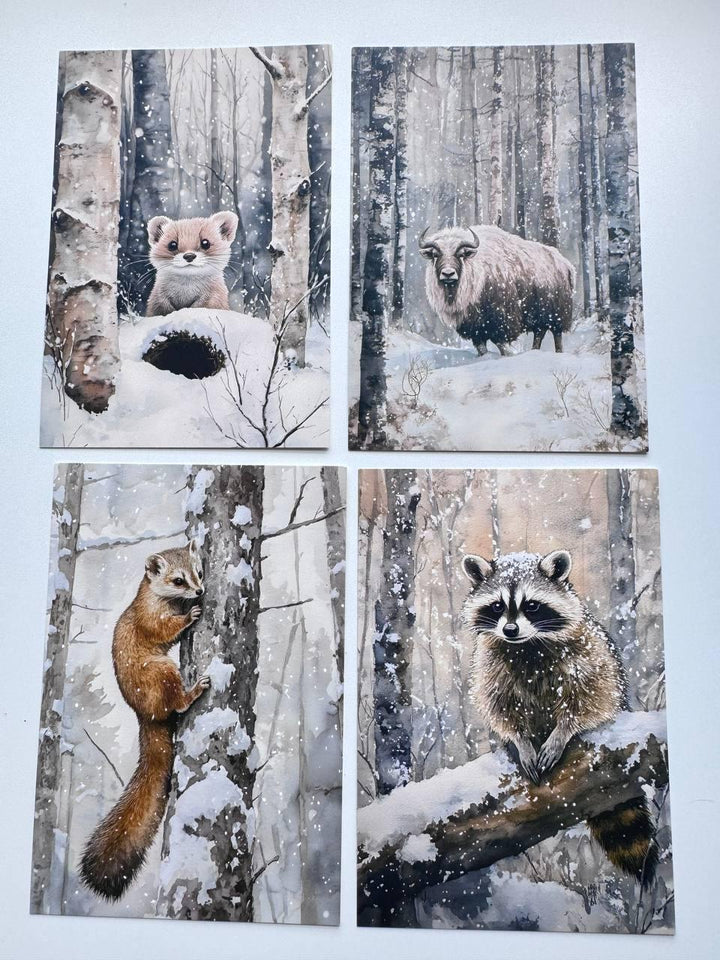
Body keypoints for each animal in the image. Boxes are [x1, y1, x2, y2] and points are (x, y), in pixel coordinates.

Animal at [79, 540, 210, 900]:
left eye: (199, 571)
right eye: (178, 580)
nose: (200, 591)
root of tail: (144, 715)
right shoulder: (151, 621)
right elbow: (165, 628)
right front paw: (190, 615)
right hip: (162, 670)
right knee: (176, 705)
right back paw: (195, 690)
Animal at [461, 549, 657, 886]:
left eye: (531, 605)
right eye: (497, 606)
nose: (510, 630)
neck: (526, 644)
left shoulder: (588, 651)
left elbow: (590, 695)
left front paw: (563, 731)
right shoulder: (490, 660)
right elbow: (498, 705)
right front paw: (519, 740)